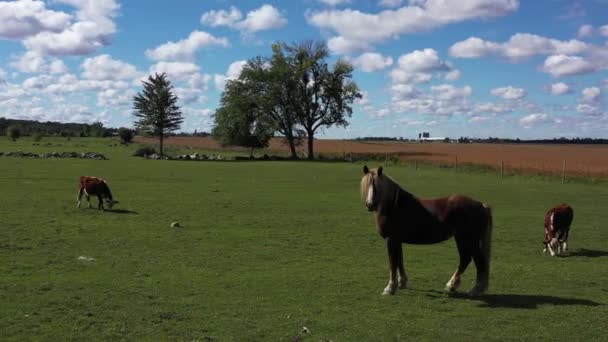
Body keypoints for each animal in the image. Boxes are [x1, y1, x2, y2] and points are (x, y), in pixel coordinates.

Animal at [360, 166, 494, 296]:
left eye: (377, 186)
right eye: (368, 185)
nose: (370, 204)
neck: (394, 206)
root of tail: (482, 205)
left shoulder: (391, 240)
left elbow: (392, 263)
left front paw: (390, 288)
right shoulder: (397, 241)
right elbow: (399, 261)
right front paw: (402, 283)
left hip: (469, 240)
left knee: (478, 262)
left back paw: (475, 290)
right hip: (462, 239)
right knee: (465, 260)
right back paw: (451, 285)